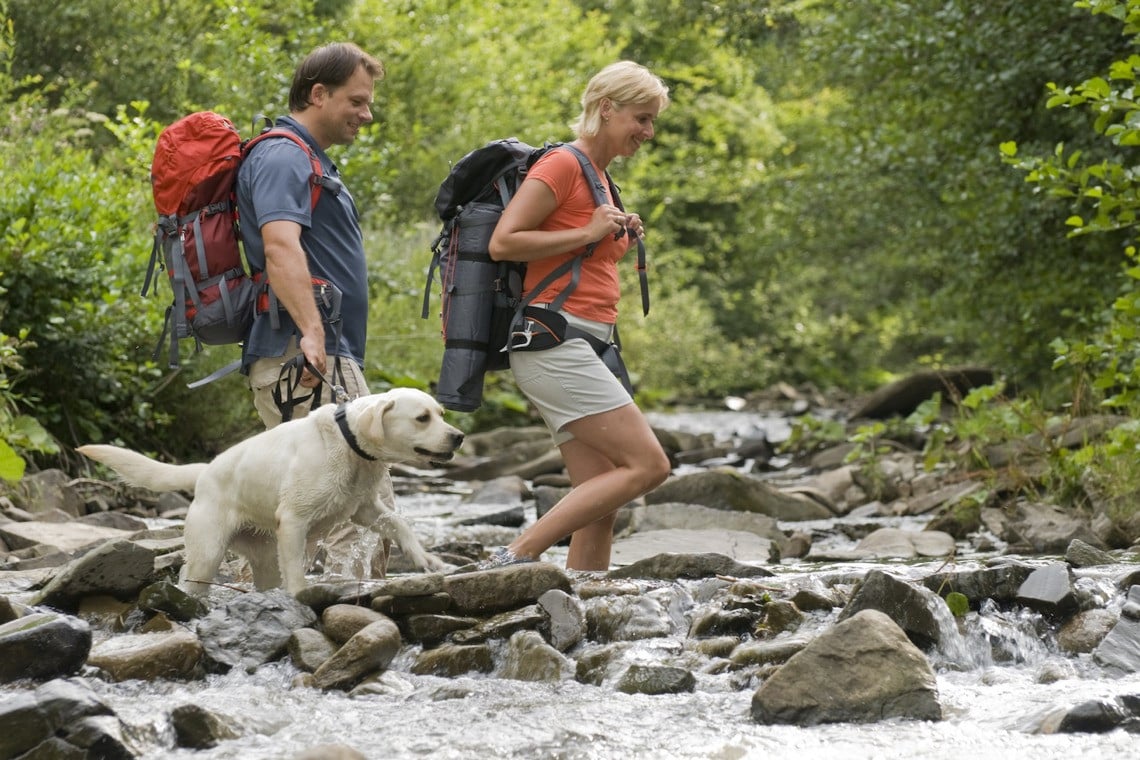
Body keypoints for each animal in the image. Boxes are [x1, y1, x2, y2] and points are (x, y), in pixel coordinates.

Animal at [79, 389, 462, 597]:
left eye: (441, 413)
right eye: (423, 418)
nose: (458, 436)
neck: (348, 442)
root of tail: (205, 470)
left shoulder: (363, 509)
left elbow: (399, 525)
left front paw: (425, 559)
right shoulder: (293, 520)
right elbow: (295, 569)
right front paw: (300, 596)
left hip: (262, 557)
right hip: (208, 551)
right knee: (195, 580)